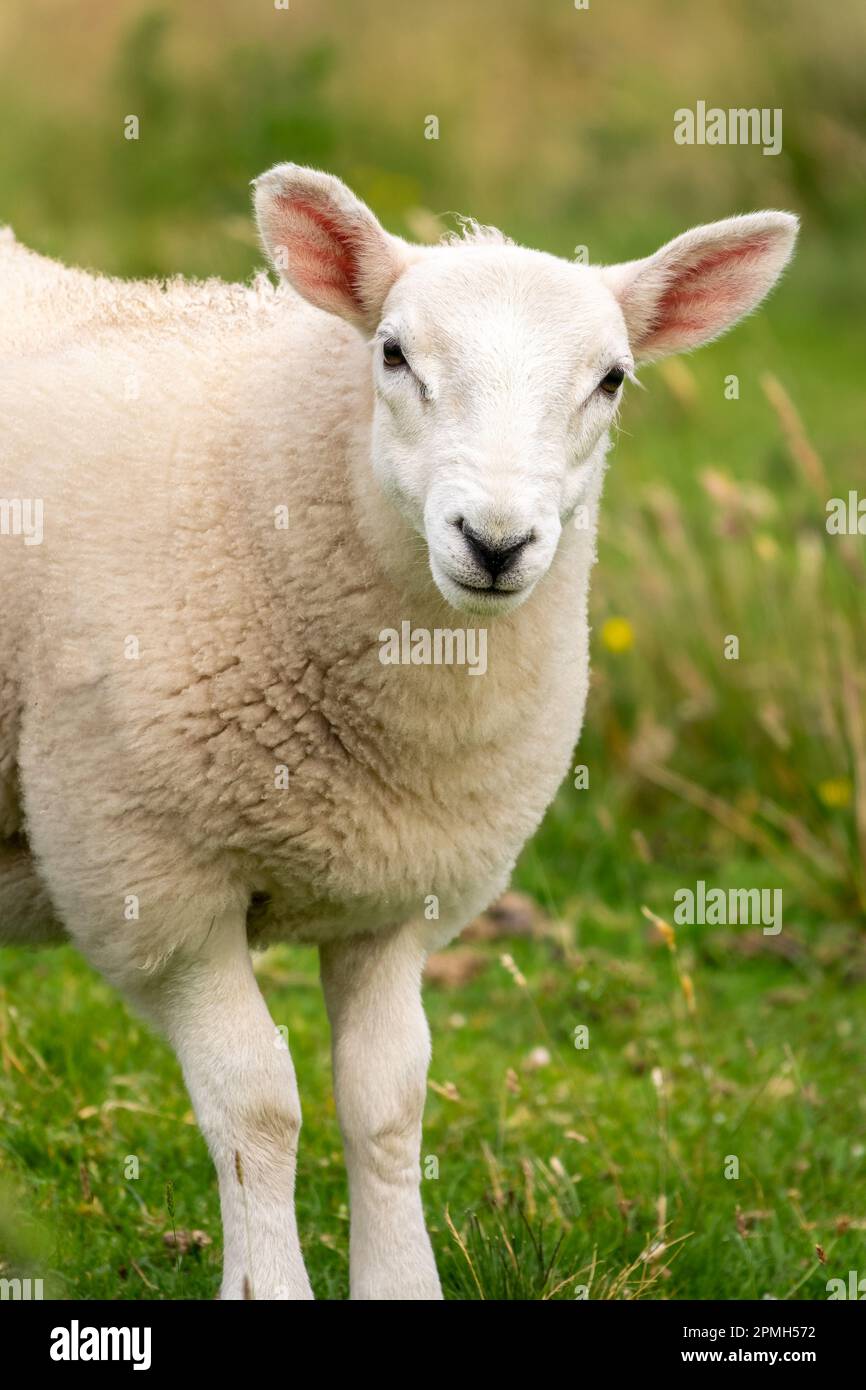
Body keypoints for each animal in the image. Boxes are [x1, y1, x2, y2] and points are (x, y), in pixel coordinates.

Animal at [0, 165, 797, 1299]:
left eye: (610, 380)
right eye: (392, 353)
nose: (495, 543)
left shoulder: (395, 887)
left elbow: (387, 1105)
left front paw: (400, 1281)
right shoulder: (155, 884)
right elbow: (257, 1105)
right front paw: (267, 1285)